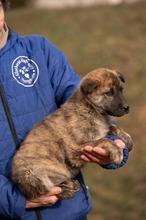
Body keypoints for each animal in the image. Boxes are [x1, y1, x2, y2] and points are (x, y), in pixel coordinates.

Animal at [11, 68, 133, 199]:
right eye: (109, 93)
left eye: (121, 90)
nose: (127, 108)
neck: (91, 109)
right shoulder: (74, 151)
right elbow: (103, 140)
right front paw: (117, 151)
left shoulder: (102, 128)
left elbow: (112, 127)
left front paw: (127, 139)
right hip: (32, 175)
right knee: (43, 191)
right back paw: (66, 189)